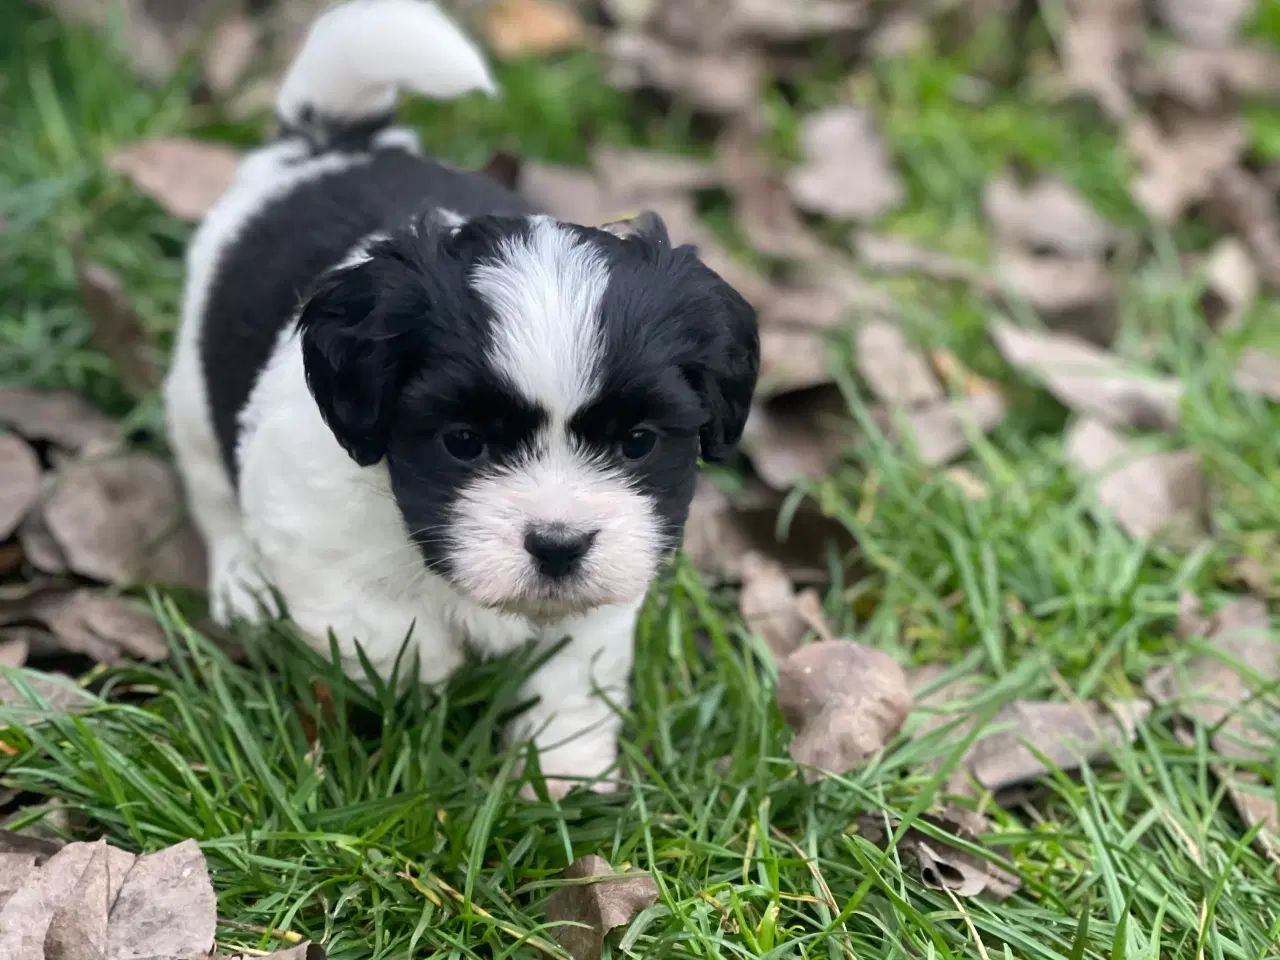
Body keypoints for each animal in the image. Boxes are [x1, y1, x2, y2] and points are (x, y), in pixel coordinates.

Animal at [163, 0, 752, 798]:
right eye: (463, 442)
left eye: (637, 442)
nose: (558, 543)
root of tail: (333, 145)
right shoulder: (307, 519)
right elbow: (380, 627)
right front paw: (422, 684)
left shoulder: (618, 565)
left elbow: (574, 670)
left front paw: (562, 776)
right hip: (192, 391)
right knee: (210, 486)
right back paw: (242, 585)